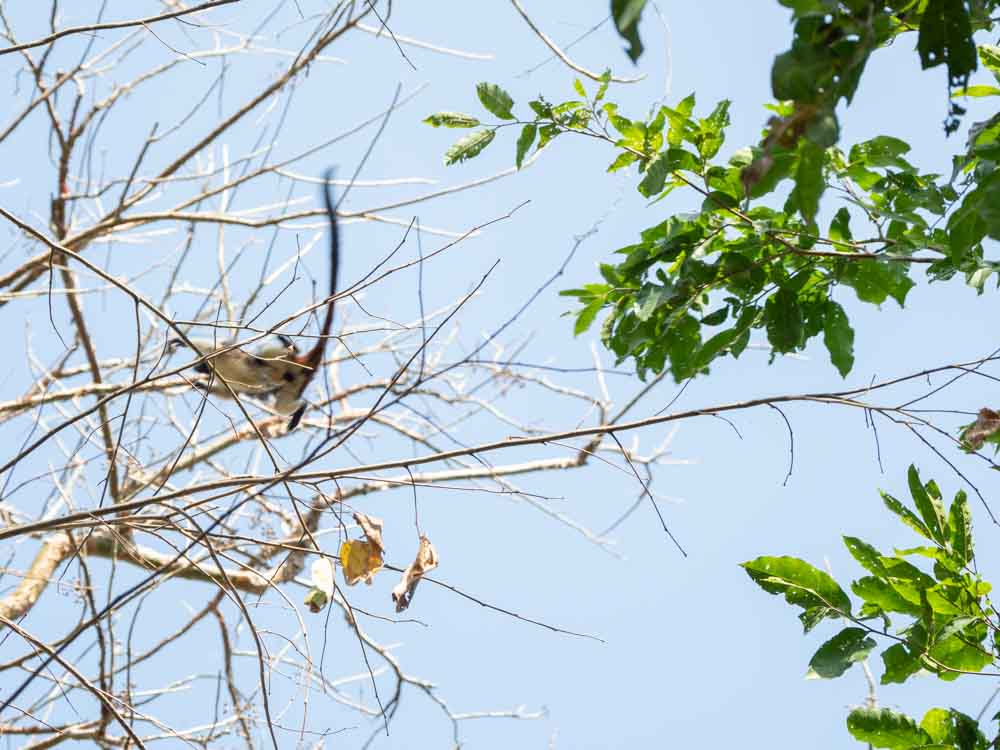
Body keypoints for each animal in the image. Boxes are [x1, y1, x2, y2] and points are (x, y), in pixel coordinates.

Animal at [172, 169, 340, 431]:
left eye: (200, 364)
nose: (198, 368)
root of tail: (301, 364)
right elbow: (230, 393)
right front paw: (199, 383)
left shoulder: (219, 354)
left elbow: (214, 347)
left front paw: (180, 340)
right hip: (294, 383)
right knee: (283, 401)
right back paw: (300, 406)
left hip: (282, 362)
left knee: (261, 358)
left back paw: (288, 348)